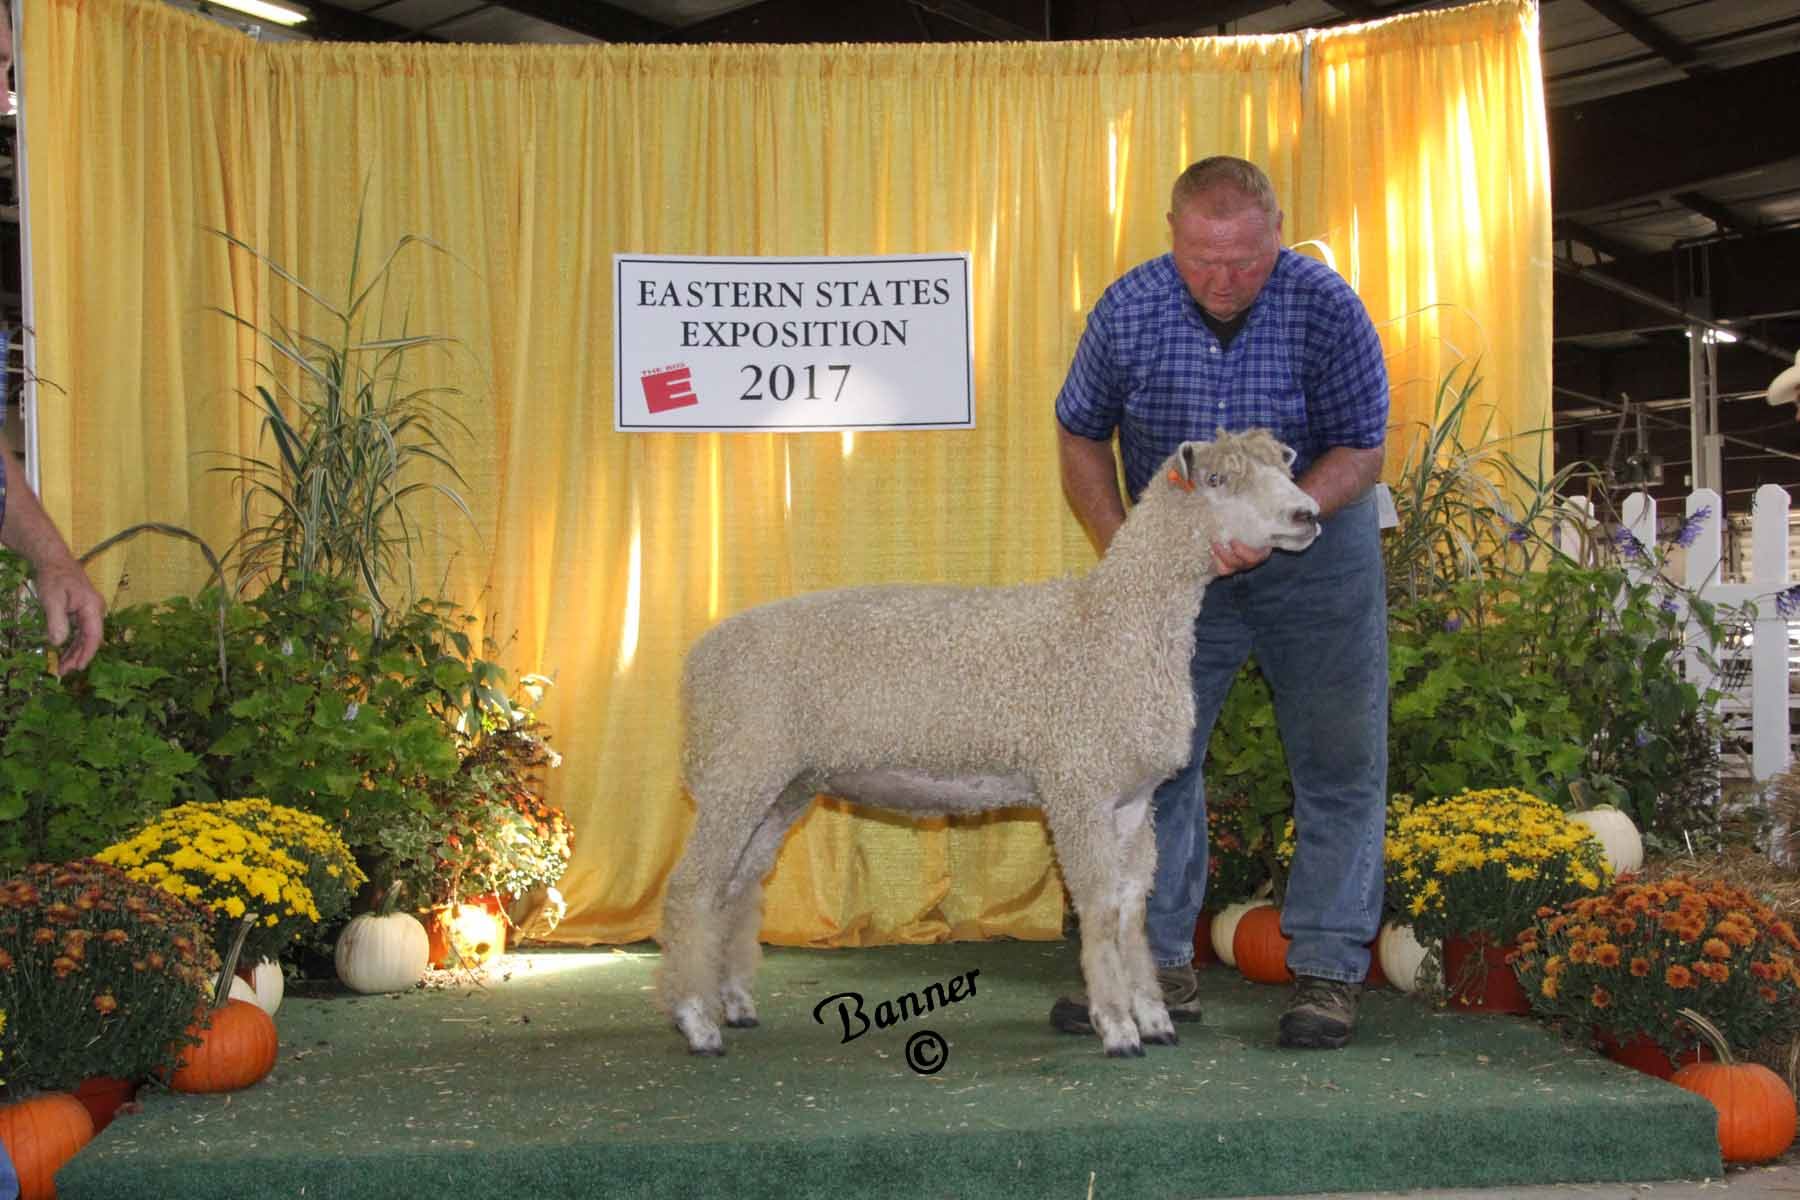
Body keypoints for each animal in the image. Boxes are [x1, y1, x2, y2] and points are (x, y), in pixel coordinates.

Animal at [657, 428, 1321, 1057]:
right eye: (1217, 480)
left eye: (1282, 468)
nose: (1307, 514)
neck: (1113, 624)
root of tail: (698, 660)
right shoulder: (1078, 785)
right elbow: (1100, 907)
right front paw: (1116, 1027)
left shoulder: (1133, 798)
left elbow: (1132, 908)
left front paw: (1154, 1018)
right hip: (739, 770)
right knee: (692, 888)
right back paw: (697, 1023)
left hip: (780, 787)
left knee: (735, 888)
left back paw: (734, 1003)